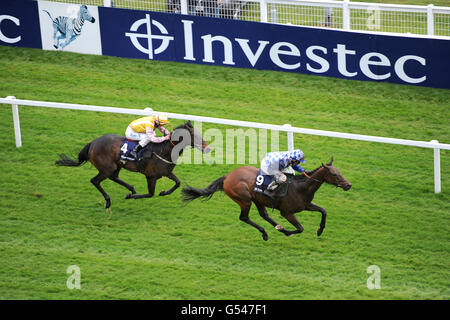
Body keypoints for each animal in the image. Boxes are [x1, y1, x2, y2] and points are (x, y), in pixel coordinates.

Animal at [56, 120, 211, 210]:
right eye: (195, 136)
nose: (208, 148)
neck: (165, 150)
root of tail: (92, 143)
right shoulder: (151, 176)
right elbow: (150, 194)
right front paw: (131, 196)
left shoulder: (166, 172)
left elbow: (177, 183)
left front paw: (163, 192)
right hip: (107, 168)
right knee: (95, 180)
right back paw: (109, 201)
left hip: (116, 165)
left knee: (114, 177)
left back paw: (131, 189)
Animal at [182, 158, 352, 240]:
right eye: (334, 174)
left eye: (340, 172)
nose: (348, 185)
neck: (301, 187)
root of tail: (228, 176)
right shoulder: (287, 212)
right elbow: (300, 228)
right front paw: (288, 232)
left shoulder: (306, 205)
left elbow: (323, 211)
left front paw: (320, 230)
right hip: (244, 199)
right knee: (244, 217)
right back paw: (267, 233)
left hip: (258, 199)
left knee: (264, 215)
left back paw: (277, 228)